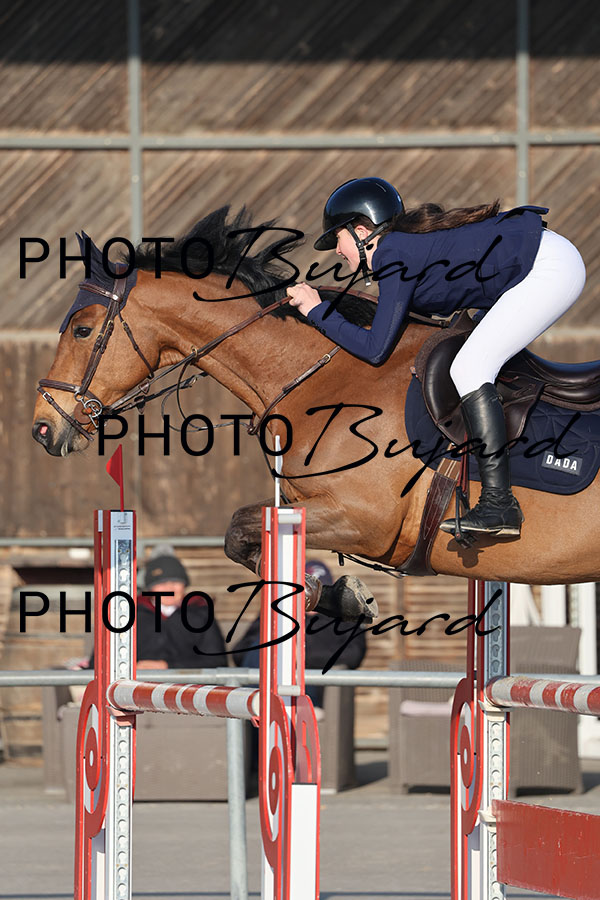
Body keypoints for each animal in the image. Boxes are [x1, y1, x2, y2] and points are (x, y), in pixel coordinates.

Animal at [32, 207, 600, 622]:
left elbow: (242, 528)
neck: (326, 374)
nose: (43, 427)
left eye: (82, 330)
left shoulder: (365, 520)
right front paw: (340, 597)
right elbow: (241, 536)